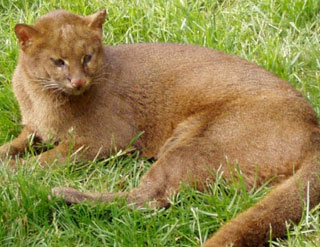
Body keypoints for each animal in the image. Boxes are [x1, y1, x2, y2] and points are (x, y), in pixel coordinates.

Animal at [0, 8, 320, 246]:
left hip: (197, 145)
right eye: (58, 61)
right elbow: (13, 146)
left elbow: (46, 160)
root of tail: (314, 126)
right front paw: (6, 157)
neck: (41, 99)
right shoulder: (33, 129)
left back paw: (64, 196)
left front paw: (12, 173)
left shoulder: (104, 139)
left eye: (87, 57)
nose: (78, 81)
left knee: (148, 199)